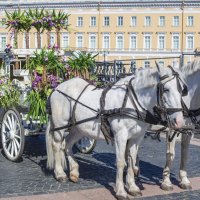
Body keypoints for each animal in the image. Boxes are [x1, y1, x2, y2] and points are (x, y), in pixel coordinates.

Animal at [45, 63, 184, 199]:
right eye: (166, 89)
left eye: (181, 90)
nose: (179, 121)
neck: (132, 103)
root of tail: (57, 88)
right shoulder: (120, 135)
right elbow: (121, 162)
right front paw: (121, 191)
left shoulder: (136, 138)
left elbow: (131, 161)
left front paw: (132, 187)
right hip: (60, 125)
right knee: (57, 145)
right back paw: (60, 173)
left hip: (79, 129)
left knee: (67, 144)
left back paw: (74, 171)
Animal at [161, 59, 200, 191]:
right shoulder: (171, 129)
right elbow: (170, 154)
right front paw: (166, 182)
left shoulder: (188, 130)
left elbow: (185, 153)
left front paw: (184, 180)